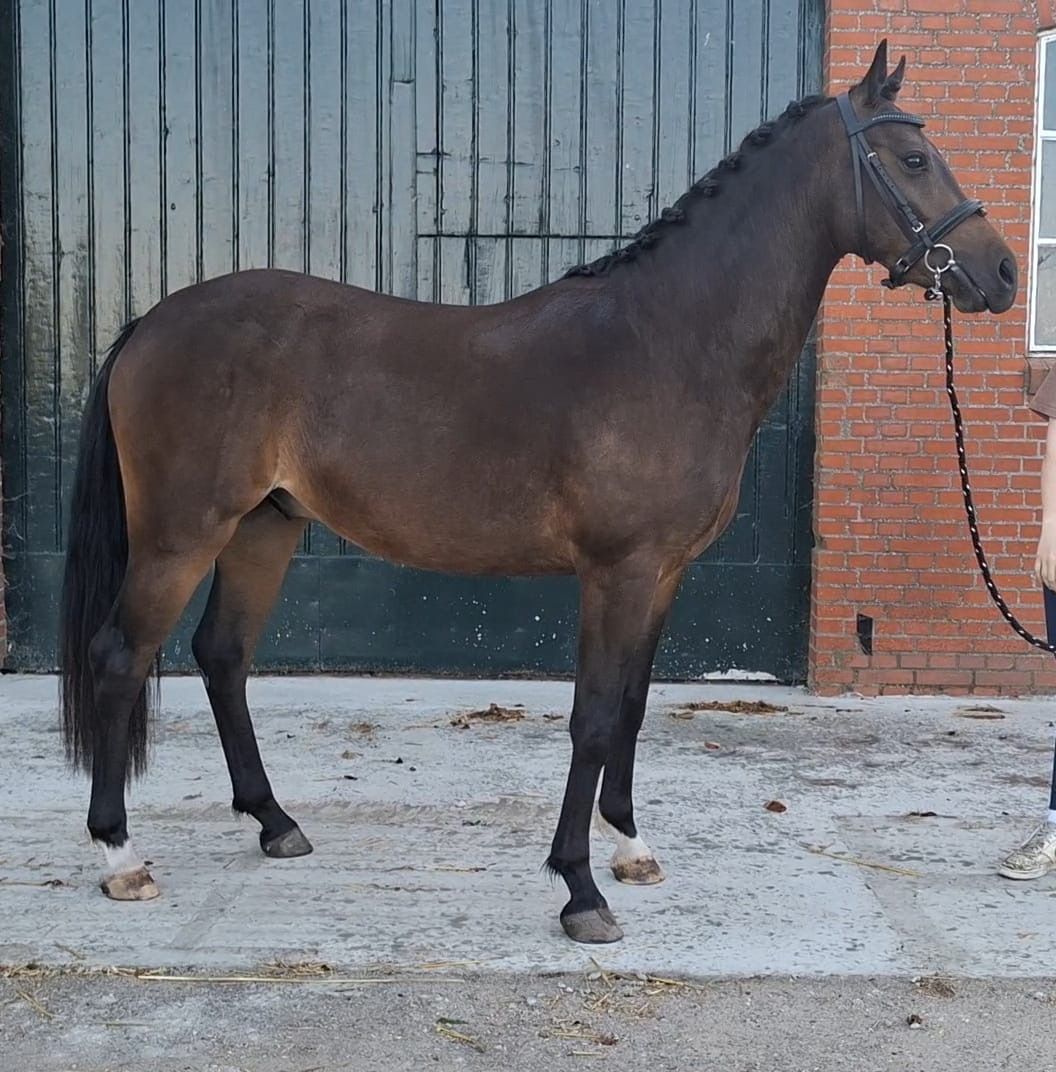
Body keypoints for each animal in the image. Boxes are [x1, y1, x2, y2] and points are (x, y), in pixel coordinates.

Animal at [59, 41, 1017, 944]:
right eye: (913, 160)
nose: (1004, 273)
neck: (669, 343)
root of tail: (152, 320)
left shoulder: (664, 573)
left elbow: (631, 708)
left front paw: (632, 848)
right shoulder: (617, 572)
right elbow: (592, 719)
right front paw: (581, 890)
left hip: (263, 527)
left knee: (222, 655)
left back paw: (274, 822)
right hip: (182, 535)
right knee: (120, 657)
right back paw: (119, 855)